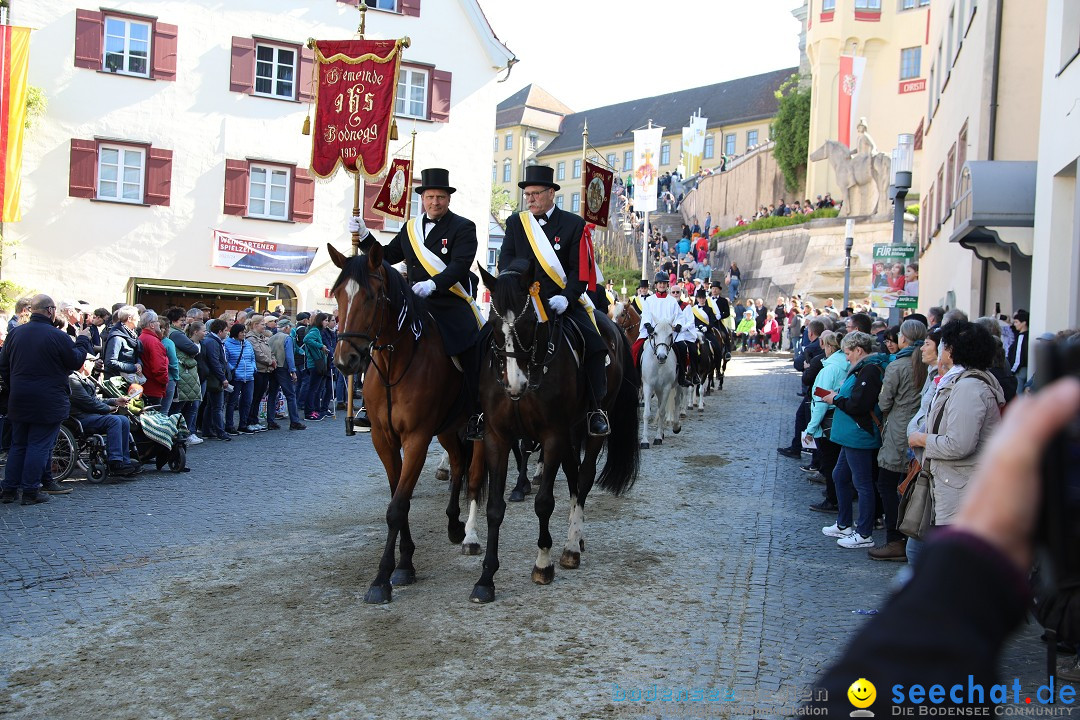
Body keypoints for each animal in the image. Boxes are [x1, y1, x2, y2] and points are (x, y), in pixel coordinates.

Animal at [326, 245, 483, 604]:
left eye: (371, 297)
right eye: (338, 294)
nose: (345, 361)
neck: (393, 362)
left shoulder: (416, 438)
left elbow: (397, 507)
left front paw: (382, 578)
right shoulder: (384, 440)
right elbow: (398, 497)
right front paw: (405, 563)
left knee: (475, 477)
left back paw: (470, 535)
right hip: (449, 428)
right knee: (458, 463)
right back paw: (453, 524)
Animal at [468, 267, 635, 604]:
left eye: (530, 323)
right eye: (493, 327)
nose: (515, 385)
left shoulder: (552, 436)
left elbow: (544, 502)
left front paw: (543, 564)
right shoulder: (497, 437)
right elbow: (495, 508)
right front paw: (486, 578)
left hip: (589, 428)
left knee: (583, 477)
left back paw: (571, 547)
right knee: (573, 476)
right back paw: (576, 536)